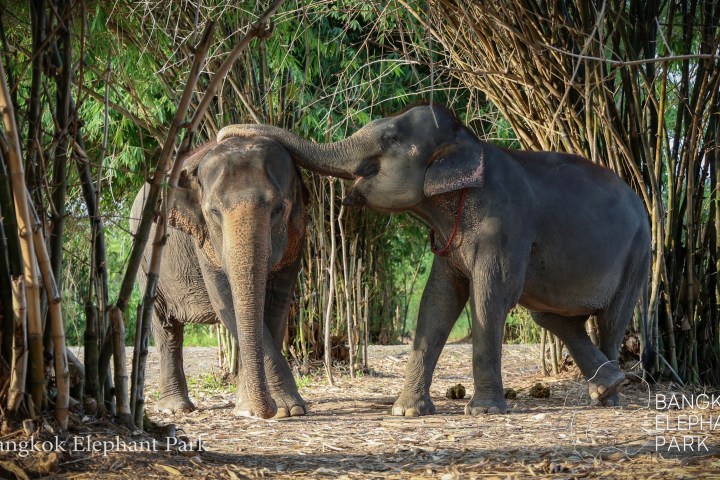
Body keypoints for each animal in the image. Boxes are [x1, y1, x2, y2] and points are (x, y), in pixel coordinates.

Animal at [130, 136, 307, 419]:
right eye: (214, 211)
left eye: (279, 208)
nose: (267, 409)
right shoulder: (203, 240)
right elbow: (226, 300)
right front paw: (281, 409)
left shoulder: (297, 234)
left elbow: (277, 304)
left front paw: (274, 408)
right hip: (146, 258)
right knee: (164, 323)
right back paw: (175, 409)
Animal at [216, 104, 652, 416]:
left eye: (389, 137)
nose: (225, 133)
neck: (471, 144)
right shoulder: (449, 239)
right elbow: (438, 301)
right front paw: (406, 412)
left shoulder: (505, 224)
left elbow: (490, 296)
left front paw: (483, 411)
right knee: (550, 315)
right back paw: (607, 383)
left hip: (638, 252)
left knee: (611, 318)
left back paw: (610, 397)